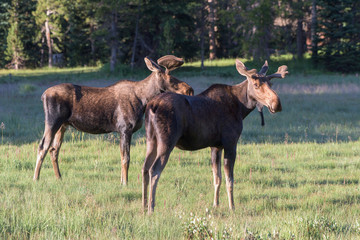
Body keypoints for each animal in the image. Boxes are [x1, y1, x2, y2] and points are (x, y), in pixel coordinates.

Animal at [33, 55, 194, 185]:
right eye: (169, 77)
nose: (189, 90)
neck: (144, 100)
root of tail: (42, 96)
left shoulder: (123, 131)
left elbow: (123, 156)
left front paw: (122, 181)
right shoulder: (125, 129)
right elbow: (126, 158)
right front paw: (125, 183)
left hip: (63, 125)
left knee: (54, 149)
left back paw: (59, 178)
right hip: (53, 121)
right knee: (43, 146)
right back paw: (36, 178)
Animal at [142, 59, 288, 213]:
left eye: (271, 84)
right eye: (256, 85)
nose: (277, 104)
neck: (242, 108)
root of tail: (152, 105)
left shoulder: (215, 146)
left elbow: (217, 178)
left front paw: (215, 204)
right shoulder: (230, 143)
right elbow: (229, 179)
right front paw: (232, 207)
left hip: (151, 140)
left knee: (145, 168)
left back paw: (144, 205)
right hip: (167, 141)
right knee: (154, 170)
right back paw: (151, 208)